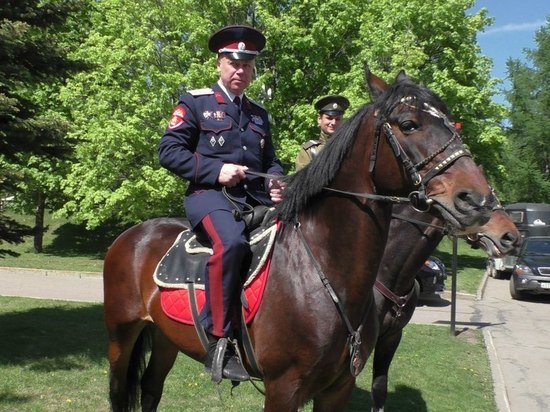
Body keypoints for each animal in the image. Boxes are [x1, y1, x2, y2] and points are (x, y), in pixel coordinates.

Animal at [103, 68, 500, 412]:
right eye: (408, 124)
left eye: (451, 122)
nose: (477, 200)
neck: (325, 270)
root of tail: (133, 235)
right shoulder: (283, 389)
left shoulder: (337, 389)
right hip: (120, 336)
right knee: (120, 392)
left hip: (166, 338)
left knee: (152, 389)